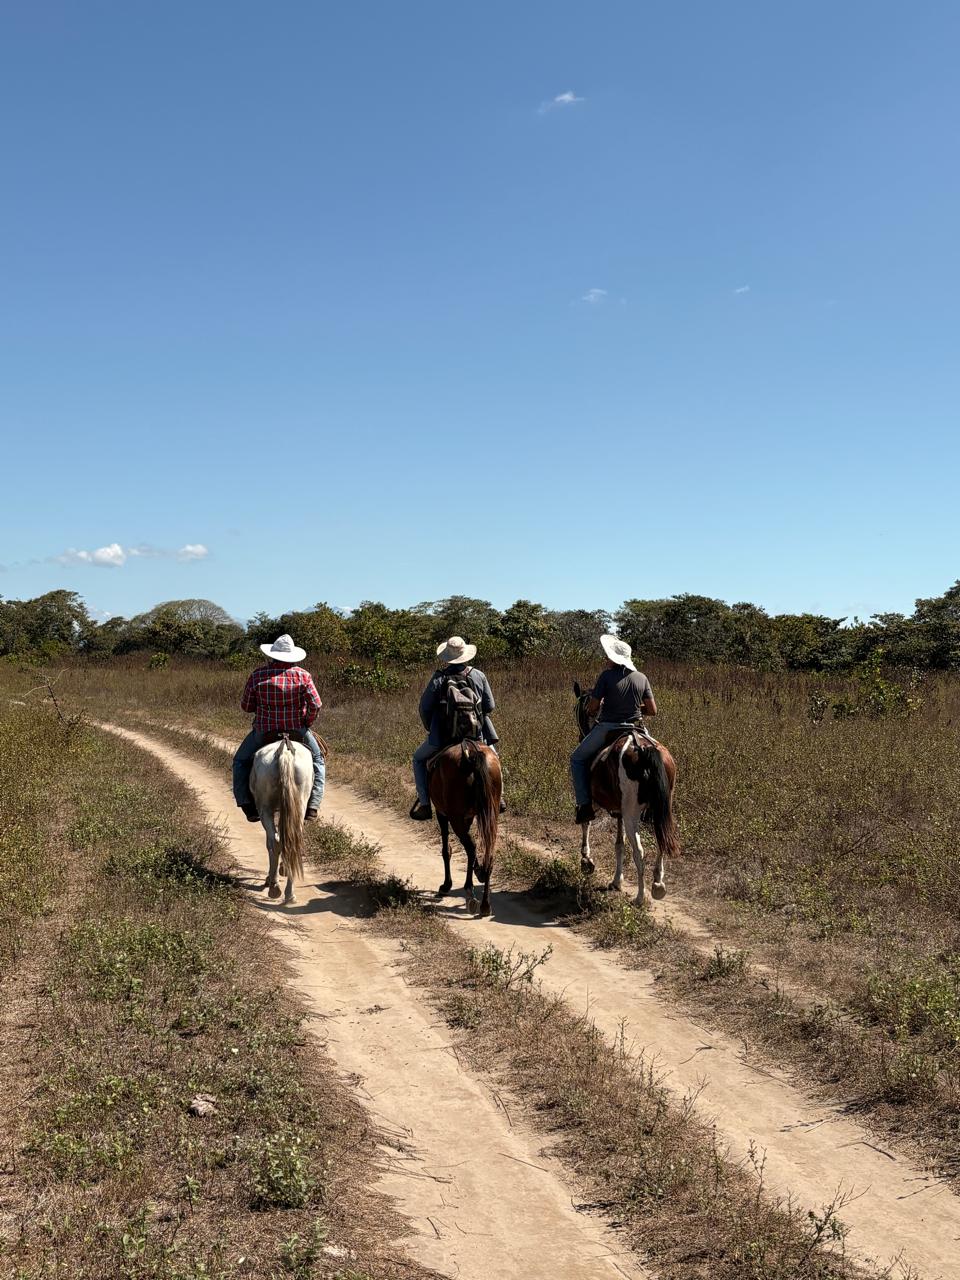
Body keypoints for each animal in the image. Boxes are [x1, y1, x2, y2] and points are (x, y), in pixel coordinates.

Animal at [249, 734, 312, 904]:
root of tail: (284, 753)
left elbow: (269, 843)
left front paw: (270, 877)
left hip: (265, 809)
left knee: (275, 841)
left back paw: (275, 887)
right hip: (299, 805)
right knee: (292, 842)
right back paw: (289, 894)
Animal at [428, 739, 502, 918]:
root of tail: (472, 753)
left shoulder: (442, 813)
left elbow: (446, 850)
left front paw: (446, 885)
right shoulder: (467, 817)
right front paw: (478, 870)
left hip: (455, 817)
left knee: (471, 847)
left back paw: (470, 892)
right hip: (491, 816)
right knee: (487, 852)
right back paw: (485, 903)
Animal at [573, 683, 680, 905]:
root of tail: (644, 749)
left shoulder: (593, 801)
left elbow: (586, 823)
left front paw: (586, 860)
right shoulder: (619, 811)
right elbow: (619, 845)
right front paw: (616, 880)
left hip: (632, 813)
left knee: (639, 851)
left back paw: (640, 897)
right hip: (661, 808)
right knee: (661, 840)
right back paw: (658, 884)